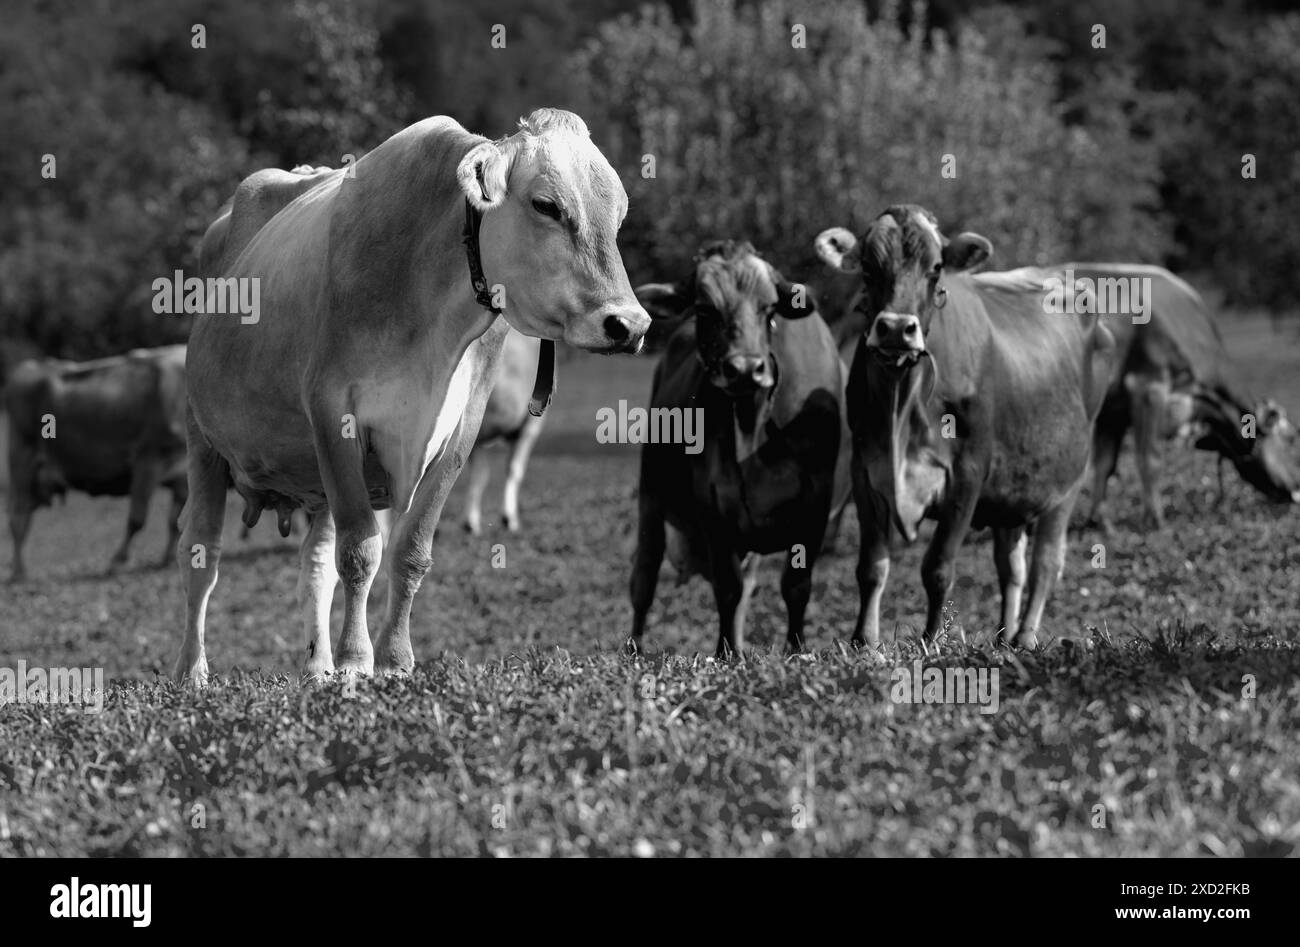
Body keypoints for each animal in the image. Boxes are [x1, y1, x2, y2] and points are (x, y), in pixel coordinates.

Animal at [5, 345, 188, 581]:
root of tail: (32, 366)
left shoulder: (183, 477)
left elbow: (175, 521)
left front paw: (168, 559)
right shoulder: (148, 460)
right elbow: (137, 519)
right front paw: (118, 562)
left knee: (24, 517)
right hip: (22, 461)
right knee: (18, 518)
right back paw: (19, 572)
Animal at [628, 240, 848, 657]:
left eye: (768, 309)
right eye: (705, 309)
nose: (746, 369)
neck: (754, 424)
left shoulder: (817, 502)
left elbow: (795, 586)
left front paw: (794, 648)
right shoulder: (713, 507)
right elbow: (726, 589)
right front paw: (725, 653)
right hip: (650, 497)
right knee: (643, 581)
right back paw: (633, 650)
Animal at [815, 205, 1115, 650]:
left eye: (936, 268)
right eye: (868, 267)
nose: (896, 328)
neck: (901, 403)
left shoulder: (967, 475)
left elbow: (938, 568)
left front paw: (931, 639)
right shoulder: (865, 472)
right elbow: (871, 567)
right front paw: (863, 641)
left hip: (1068, 480)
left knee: (1046, 562)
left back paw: (1025, 636)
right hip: (1014, 491)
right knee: (1011, 567)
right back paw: (1003, 637)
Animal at [1057, 264, 1300, 531]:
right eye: (1291, 438)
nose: (1297, 487)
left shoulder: (1114, 409)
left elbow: (1104, 464)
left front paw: (1099, 523)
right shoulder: (1148, 387)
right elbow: (1150, 459)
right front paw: (1155, 521)